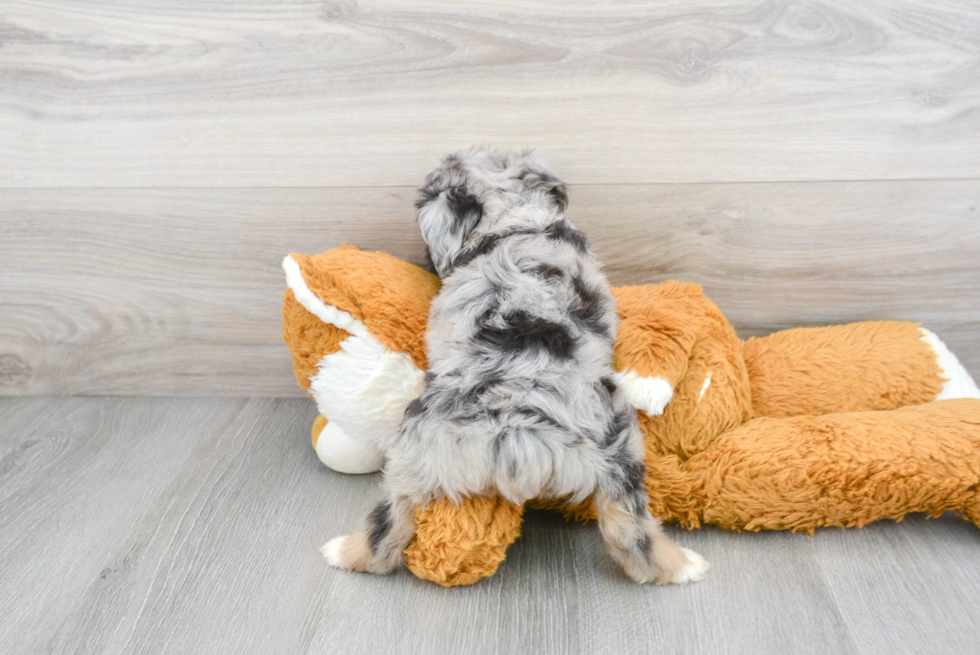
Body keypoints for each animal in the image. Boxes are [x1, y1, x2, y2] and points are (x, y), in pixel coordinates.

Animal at [322, 147, 704, 584]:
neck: (512, 213)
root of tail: (516, 427)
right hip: (618, 455)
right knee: (632, 535)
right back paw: (684, 566)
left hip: (410, 456)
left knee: (386, 529)